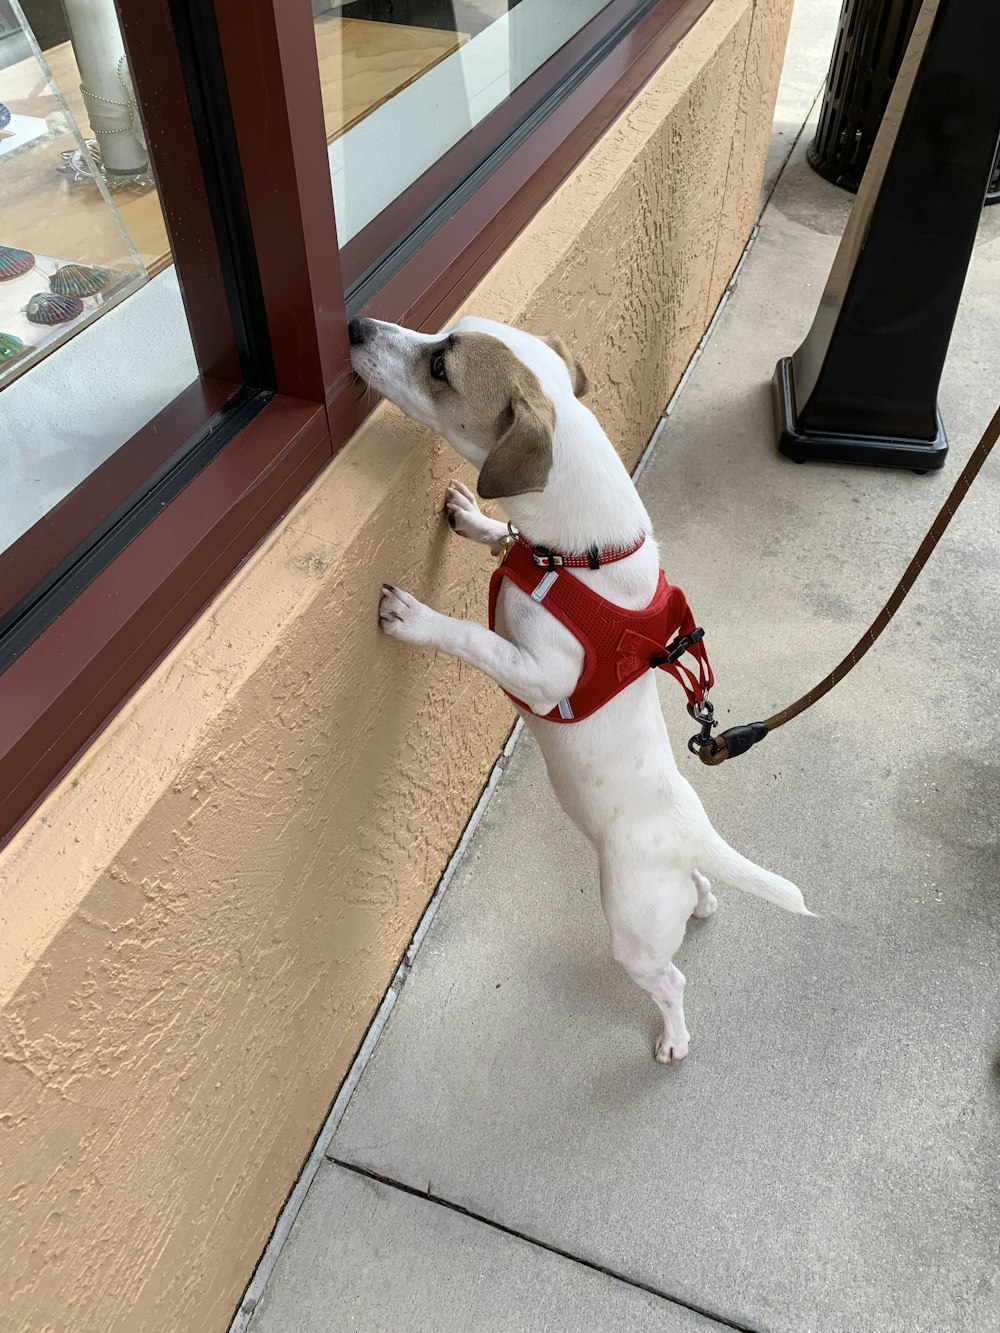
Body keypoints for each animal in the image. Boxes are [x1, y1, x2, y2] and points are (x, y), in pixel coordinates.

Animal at [349, 309, 810, 1061]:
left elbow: (473, 637)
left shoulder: (538, 677)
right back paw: (706, 896)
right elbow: (503, 533)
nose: (356, 325)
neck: (578, 557)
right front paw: (475, 519)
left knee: (671, 980)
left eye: (441, 367)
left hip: (633, 933)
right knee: (698, 892)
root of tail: (693, 832)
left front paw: (416, 617)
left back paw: (674, 1037)